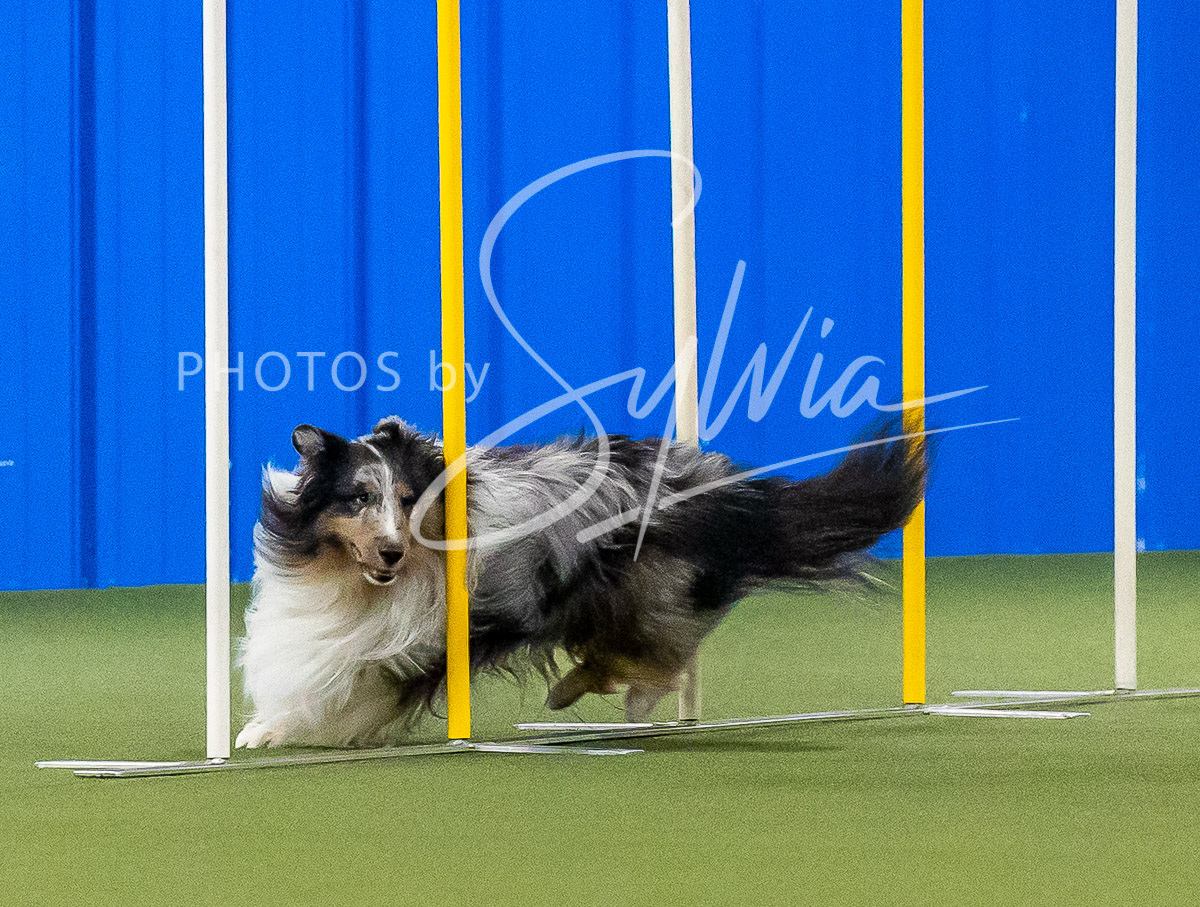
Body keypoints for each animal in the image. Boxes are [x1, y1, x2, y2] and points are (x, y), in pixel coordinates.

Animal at [235, 416, 926, 748]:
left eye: (410, 501)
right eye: (358, 497)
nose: (391, 549)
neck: (368, 584)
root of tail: (721, 487)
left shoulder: (417, 647)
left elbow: (342, 680)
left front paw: (270, 729)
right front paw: (266, 726)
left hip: (644, 587)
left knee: (661, 656)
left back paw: (628, 699)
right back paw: (568, 693)